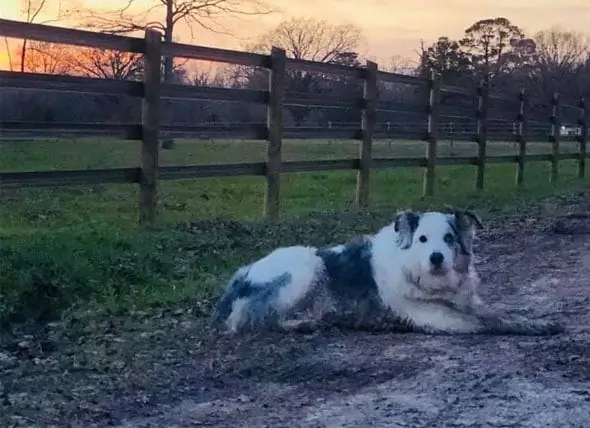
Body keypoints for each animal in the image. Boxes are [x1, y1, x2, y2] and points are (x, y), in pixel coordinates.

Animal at [210, 209, 568, 336]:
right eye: (422, 239)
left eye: (449, 239)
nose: (436, 258)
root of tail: (244, 270)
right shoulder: (440, 319)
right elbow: (487, 323)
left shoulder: (468, 302)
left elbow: (499, 313)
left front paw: (537, 321)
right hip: (308, 267)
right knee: (251, 319)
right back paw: (304, 323)